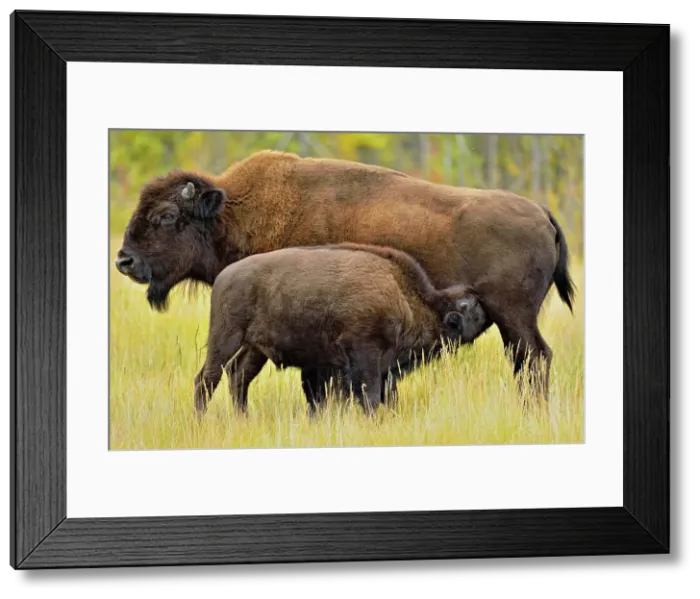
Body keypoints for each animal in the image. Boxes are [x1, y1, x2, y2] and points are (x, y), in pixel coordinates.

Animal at [193, 242, 488, 416]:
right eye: (471, 310)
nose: (485, 310)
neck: (405, 297)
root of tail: (224, 276)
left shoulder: (378, 367)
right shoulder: (365, 355)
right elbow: (369, 395)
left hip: (254, 349)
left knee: (238, 376)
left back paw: (242, 418)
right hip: (226, 338)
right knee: (207, 378)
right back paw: (201, 419)